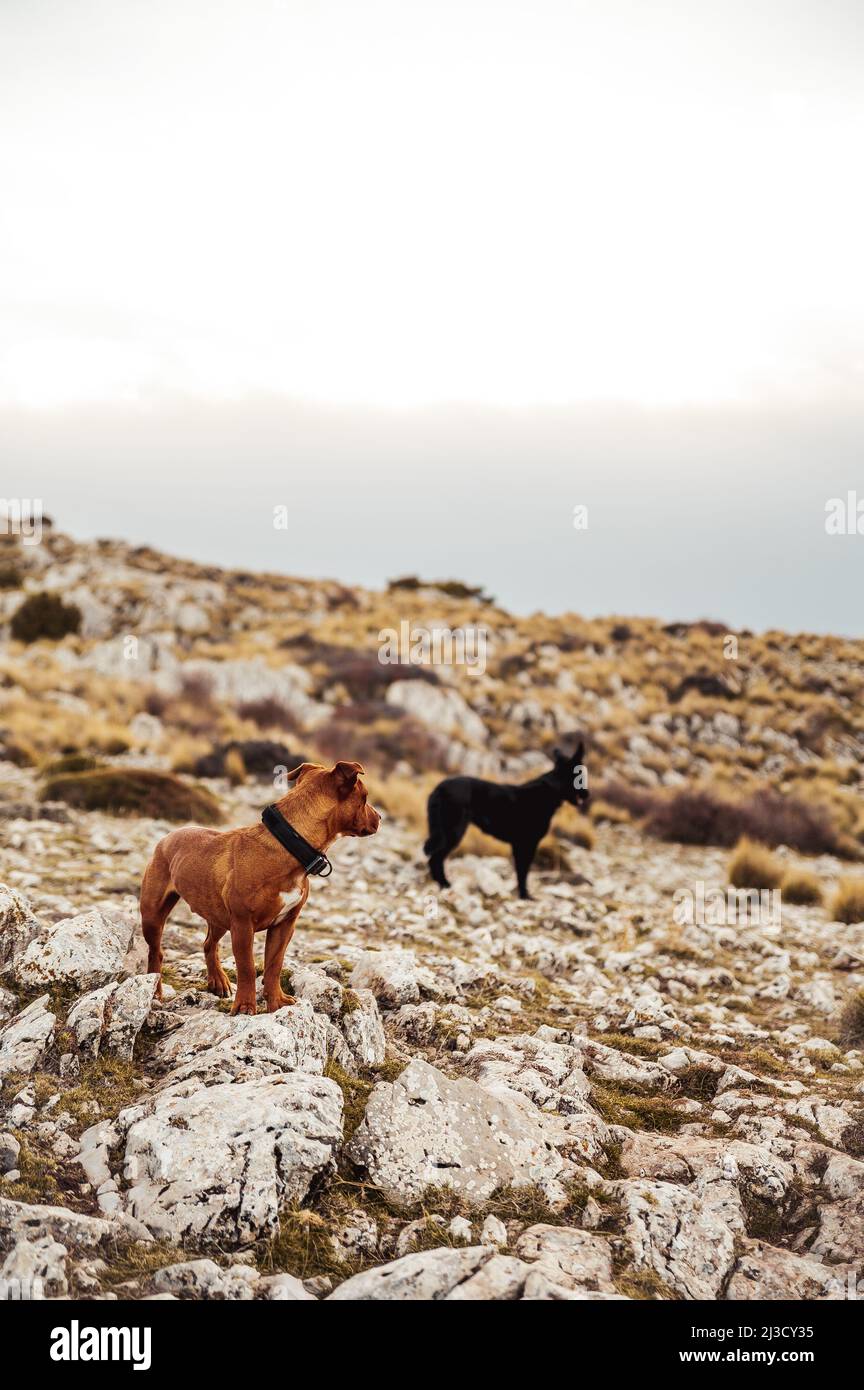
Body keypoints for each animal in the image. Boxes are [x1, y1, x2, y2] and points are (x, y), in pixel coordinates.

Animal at [140, 767, 380, 1017]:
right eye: (364, 797)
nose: (379, 817)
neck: (290, 845)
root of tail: (169, 835)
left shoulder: (284, 926)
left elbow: (274, 966)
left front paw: (276, 1002)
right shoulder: (243, 925)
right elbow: (246, 968)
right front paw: (245, 1006)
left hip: (219, 918)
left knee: (209, 944)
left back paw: (218, 980)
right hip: (153, 915)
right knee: (155, 952)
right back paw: (155, 990)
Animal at [425, 745, 591, 895]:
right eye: (581, 777)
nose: (587, 794)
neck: (551, 789)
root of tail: (438, 788)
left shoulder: (519, 845)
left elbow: (520, 872)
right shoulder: (527, 844)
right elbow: (523, 872)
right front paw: (525, 896)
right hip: (453, 832)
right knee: (435, 858)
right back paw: (445, 885)